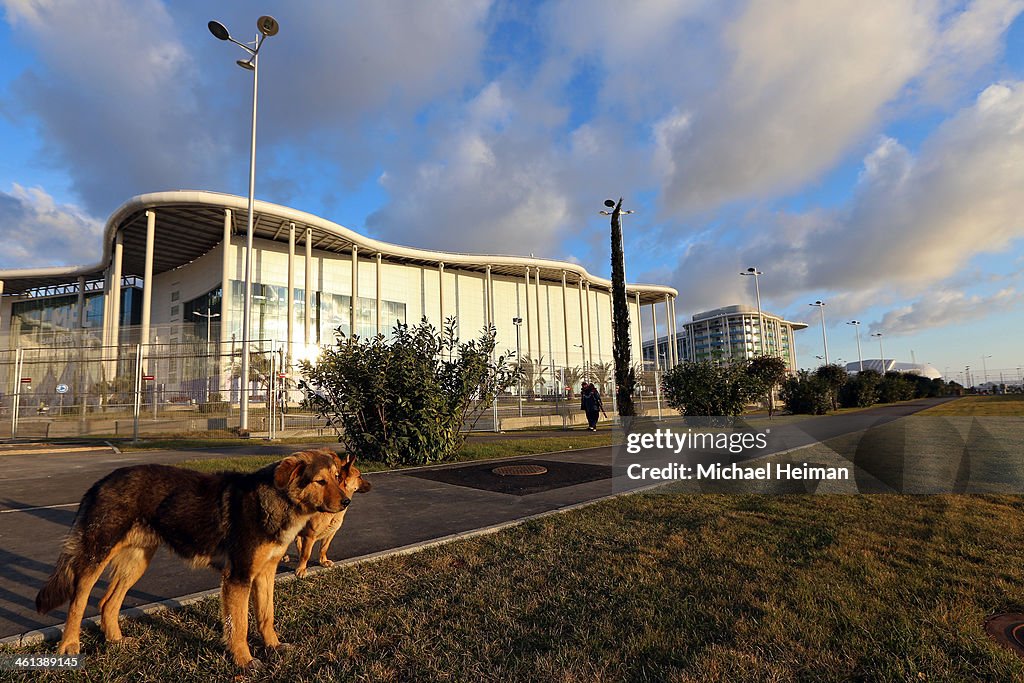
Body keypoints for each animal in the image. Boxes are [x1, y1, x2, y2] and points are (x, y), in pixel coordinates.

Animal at [37, 448, 348, 667]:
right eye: (320, 481)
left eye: (337, 477)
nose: (347, 501)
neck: (275, 500)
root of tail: (101, 482)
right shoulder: (238, 577)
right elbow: (240, 625)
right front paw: (245, 661)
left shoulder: (265, 573)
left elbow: (266, 616)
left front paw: (273, 647)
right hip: (97, 555)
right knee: (78, 600)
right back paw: (69, 645)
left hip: (137, 561)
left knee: (107, 602)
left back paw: (116, 641)